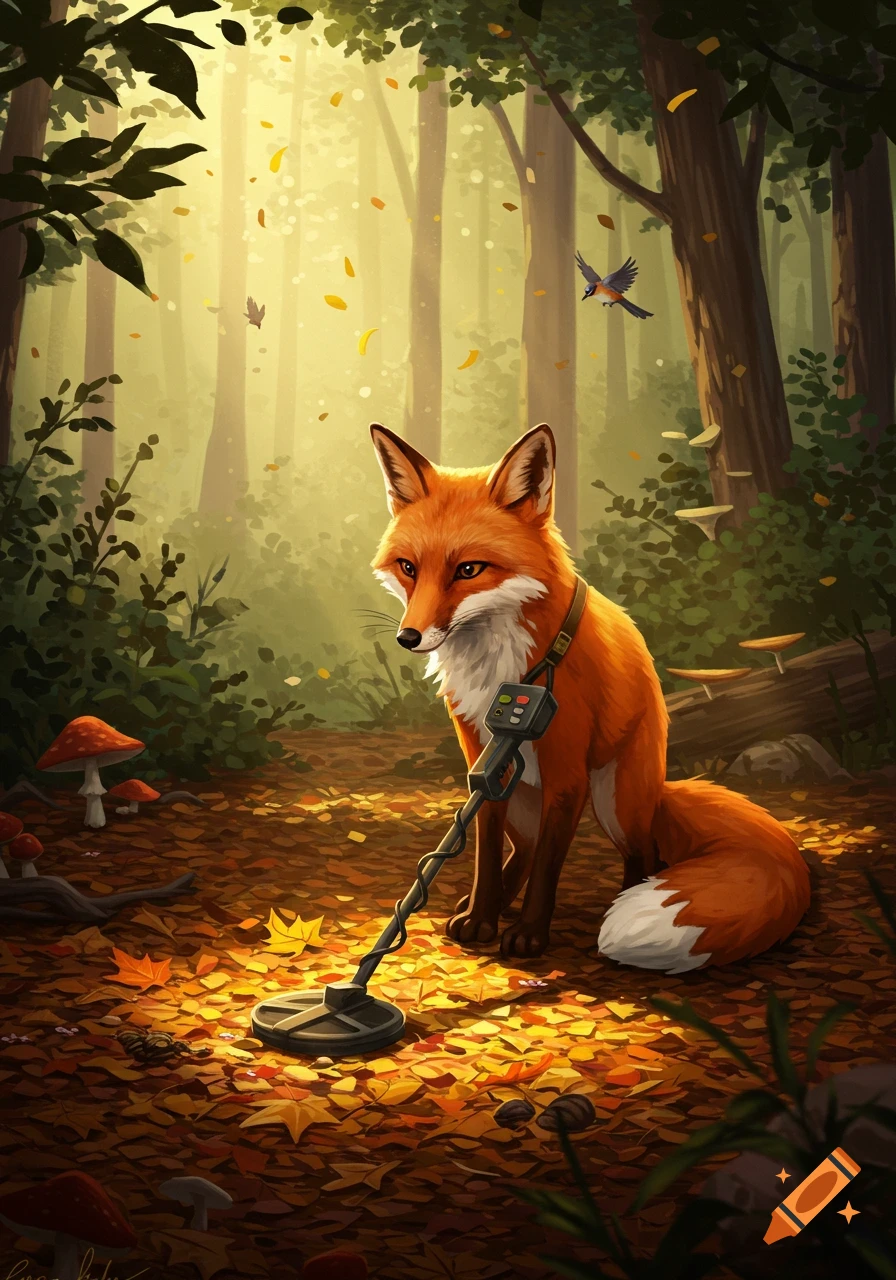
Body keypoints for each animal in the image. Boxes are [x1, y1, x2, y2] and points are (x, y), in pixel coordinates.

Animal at [368, 421, 810, 974]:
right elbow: (487, 855)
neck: (502, 666)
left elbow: (548, 868)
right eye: (408, 567)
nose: (408, 637)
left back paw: (621, 900)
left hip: (615, 801)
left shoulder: (567, 776)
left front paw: (529, 935)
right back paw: (481, 904)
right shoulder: (482, 766)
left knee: (643, 855)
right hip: (522, 800)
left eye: (469, 570)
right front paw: (481, 920)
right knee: (521, 852)